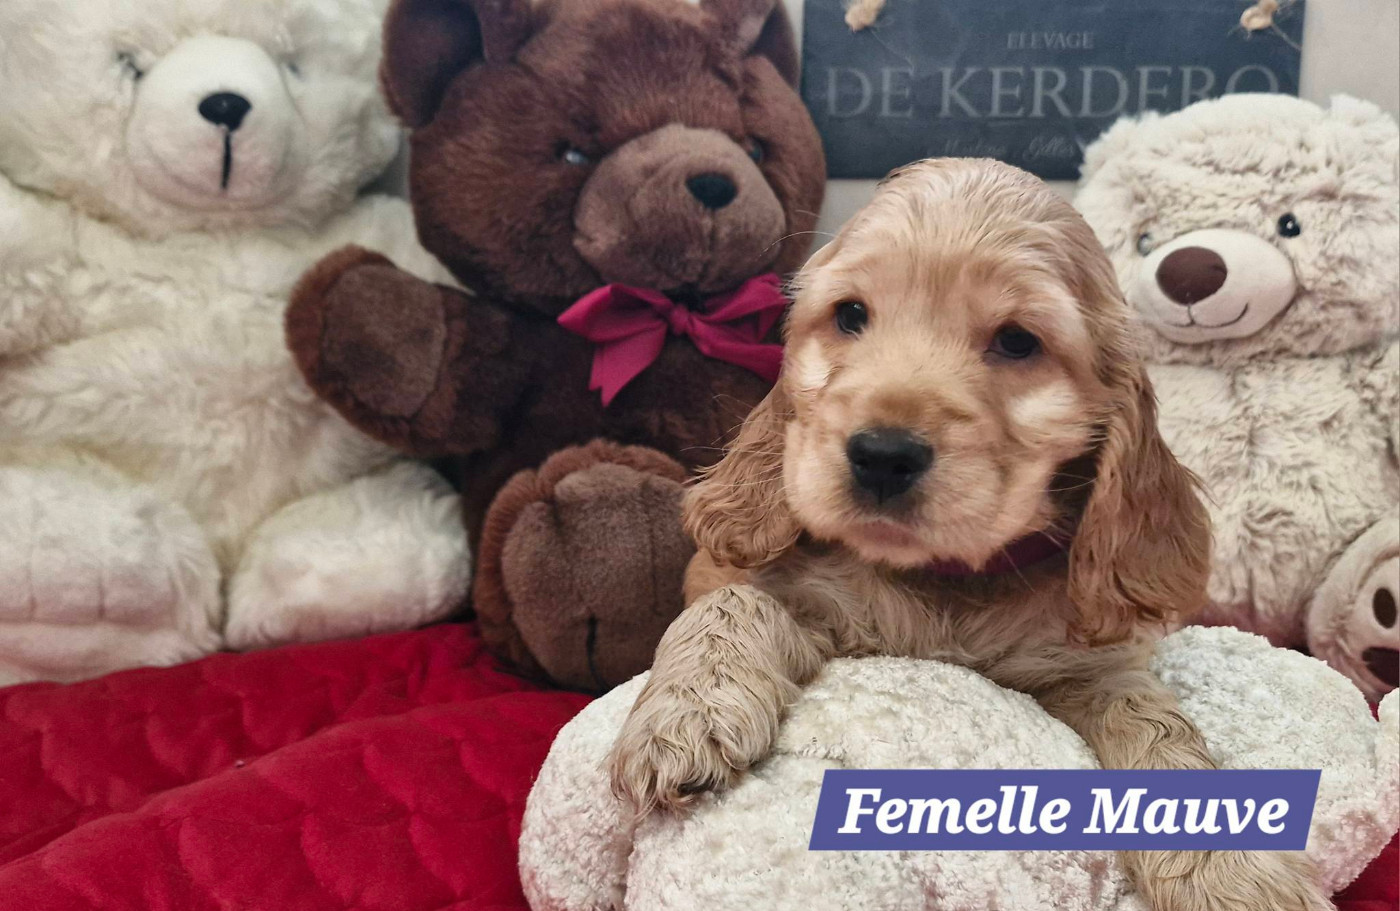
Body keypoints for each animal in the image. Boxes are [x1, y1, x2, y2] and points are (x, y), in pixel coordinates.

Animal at [609, 159, 1331, 911]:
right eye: (850, 315)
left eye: (1017, 341)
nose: (882, 455)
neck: (946, 580)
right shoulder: (806, 595)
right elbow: (730, 602)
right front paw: (685, 713)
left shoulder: (1090, 667)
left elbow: (1157, 729)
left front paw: (1232, 873)